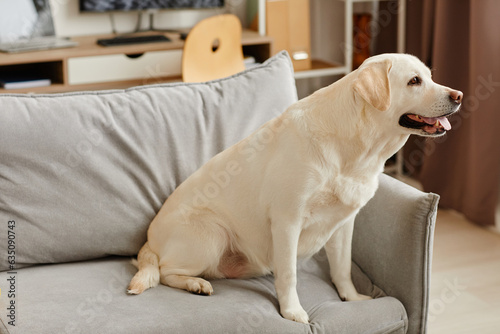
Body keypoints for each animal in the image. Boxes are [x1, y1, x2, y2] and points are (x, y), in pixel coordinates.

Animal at [127, 53, 462, 322]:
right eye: (414, 81)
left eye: (430, 76)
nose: (458, 95)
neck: (356, 148)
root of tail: (148, 240)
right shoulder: (287, 221)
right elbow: (288, 275)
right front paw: (292, 312)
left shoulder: (344, 223)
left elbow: (342, 268)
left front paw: (351, 298)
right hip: (211, 234)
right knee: (165, 271)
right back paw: (195, 284)